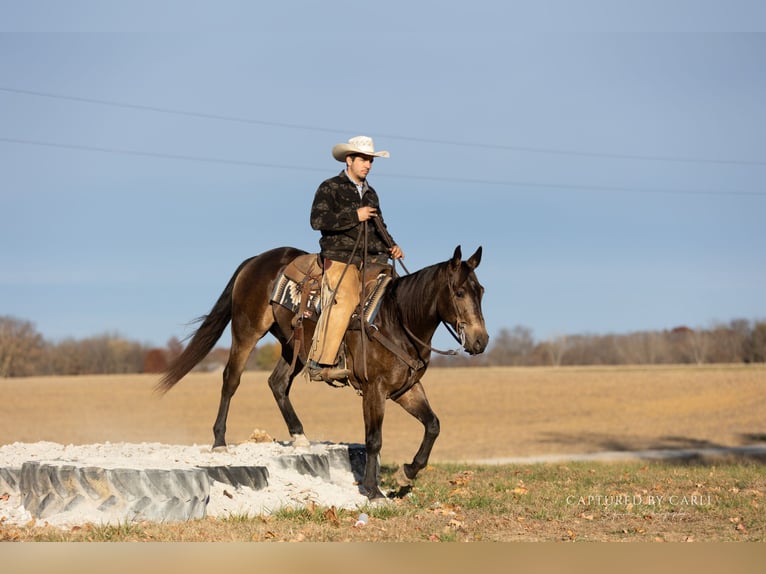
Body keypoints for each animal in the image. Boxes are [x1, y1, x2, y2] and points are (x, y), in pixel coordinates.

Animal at [156, 245, 488, 499]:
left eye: (481, 291)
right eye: (459, 292)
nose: (480, 340)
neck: (396, 320)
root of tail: (256, 260)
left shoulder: (406, 389)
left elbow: (433, 425)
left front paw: (408, 473)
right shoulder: (374, 389)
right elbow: (374, 439)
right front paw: (372, 490)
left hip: (293, 346)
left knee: (277, 383)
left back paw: (299, 436)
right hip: (246, 331)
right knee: (231, 380)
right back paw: (219, 441)